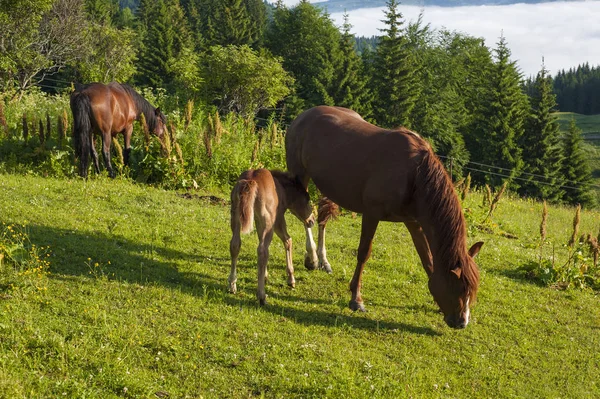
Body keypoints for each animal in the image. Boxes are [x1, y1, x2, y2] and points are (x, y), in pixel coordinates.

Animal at [227, 169, 316, 306]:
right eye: (307, 200)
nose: (312, 221)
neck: (282, 188)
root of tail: (250, 182)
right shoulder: (277, 218)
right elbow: (288, 240)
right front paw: (291, 279)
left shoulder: (258, 221)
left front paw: (265, 275)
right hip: (268, 221)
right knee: (263, 250)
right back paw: (261, 296)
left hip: (235, 216)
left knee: (235, 245)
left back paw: (232, 285)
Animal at [286, 105, 482, 328]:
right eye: (459, 288)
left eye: (471, 290)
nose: (461, 322)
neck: (414, 175)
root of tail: (304, 115)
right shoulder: (372, 214)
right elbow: (364, 253)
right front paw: (356, 299)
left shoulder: (414, 223)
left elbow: (428, 261)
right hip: (300, 176)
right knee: (306, 216)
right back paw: (311, 258)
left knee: (321, 219)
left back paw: (323, 260)